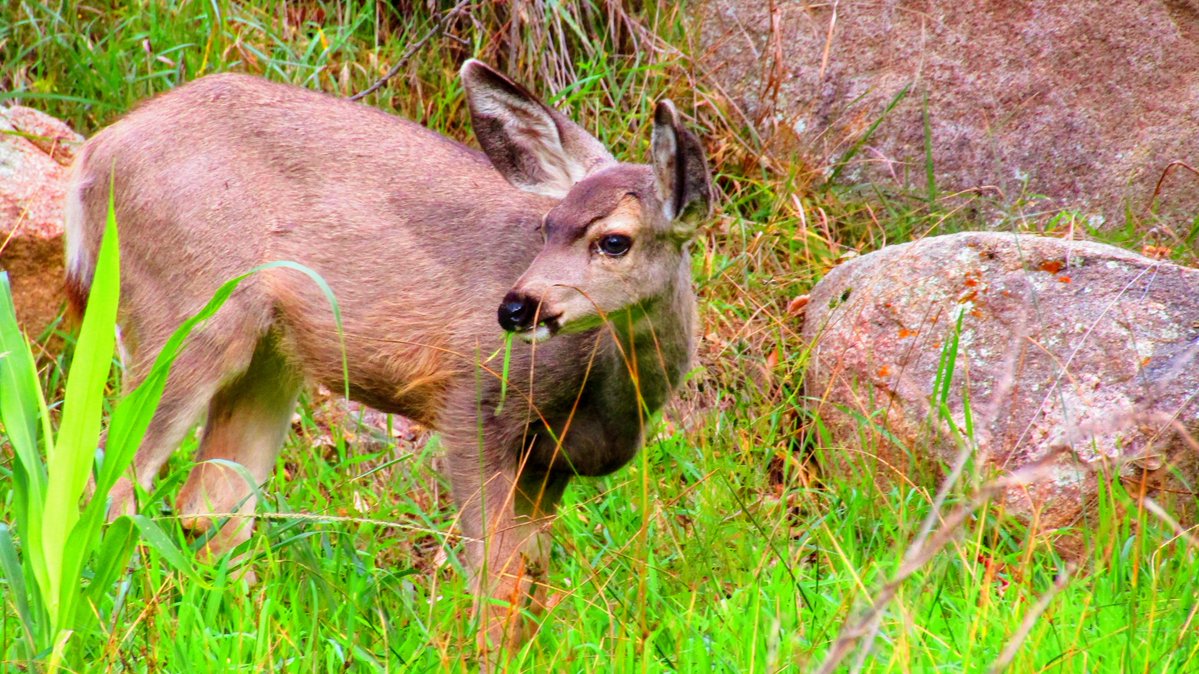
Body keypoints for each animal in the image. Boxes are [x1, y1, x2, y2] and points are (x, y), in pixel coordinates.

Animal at [65, 60, 709, 647]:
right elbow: (498, 580)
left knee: (211, 505)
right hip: (182, 315)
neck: (601, 393)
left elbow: (533, 583)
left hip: (270, 355)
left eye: (614, 241)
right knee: (111, 482)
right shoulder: (473, 407)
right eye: (546, 226)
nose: (514, 308)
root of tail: (94, 156)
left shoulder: (550, 467)